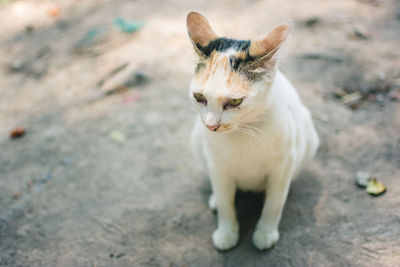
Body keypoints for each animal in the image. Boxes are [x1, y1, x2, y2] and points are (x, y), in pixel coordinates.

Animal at [186, 12, 320, 251]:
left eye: (235, 101)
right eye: (199, 97)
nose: (211, 126)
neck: (244, 132)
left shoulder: (282, 166)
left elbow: (274, 204)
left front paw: (265, 232)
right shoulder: (218, 167)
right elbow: (226, 203)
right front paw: (227, 232)